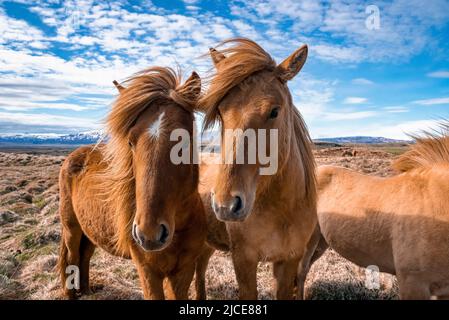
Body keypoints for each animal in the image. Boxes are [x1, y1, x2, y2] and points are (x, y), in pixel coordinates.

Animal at [58, 67, 206, 300]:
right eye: (131, 141)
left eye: (184, 140)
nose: (149, 234)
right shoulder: (148, 273)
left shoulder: (184, 271)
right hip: (71, 228)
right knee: (71, 258)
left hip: (90, 229)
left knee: (85, 256)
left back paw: (87, 290)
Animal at [194, 38, 316, 300]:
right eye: (220, 112)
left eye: (274, 111)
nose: (226, 205)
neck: (280, 209)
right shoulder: (244, 260)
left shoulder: (289, 261)